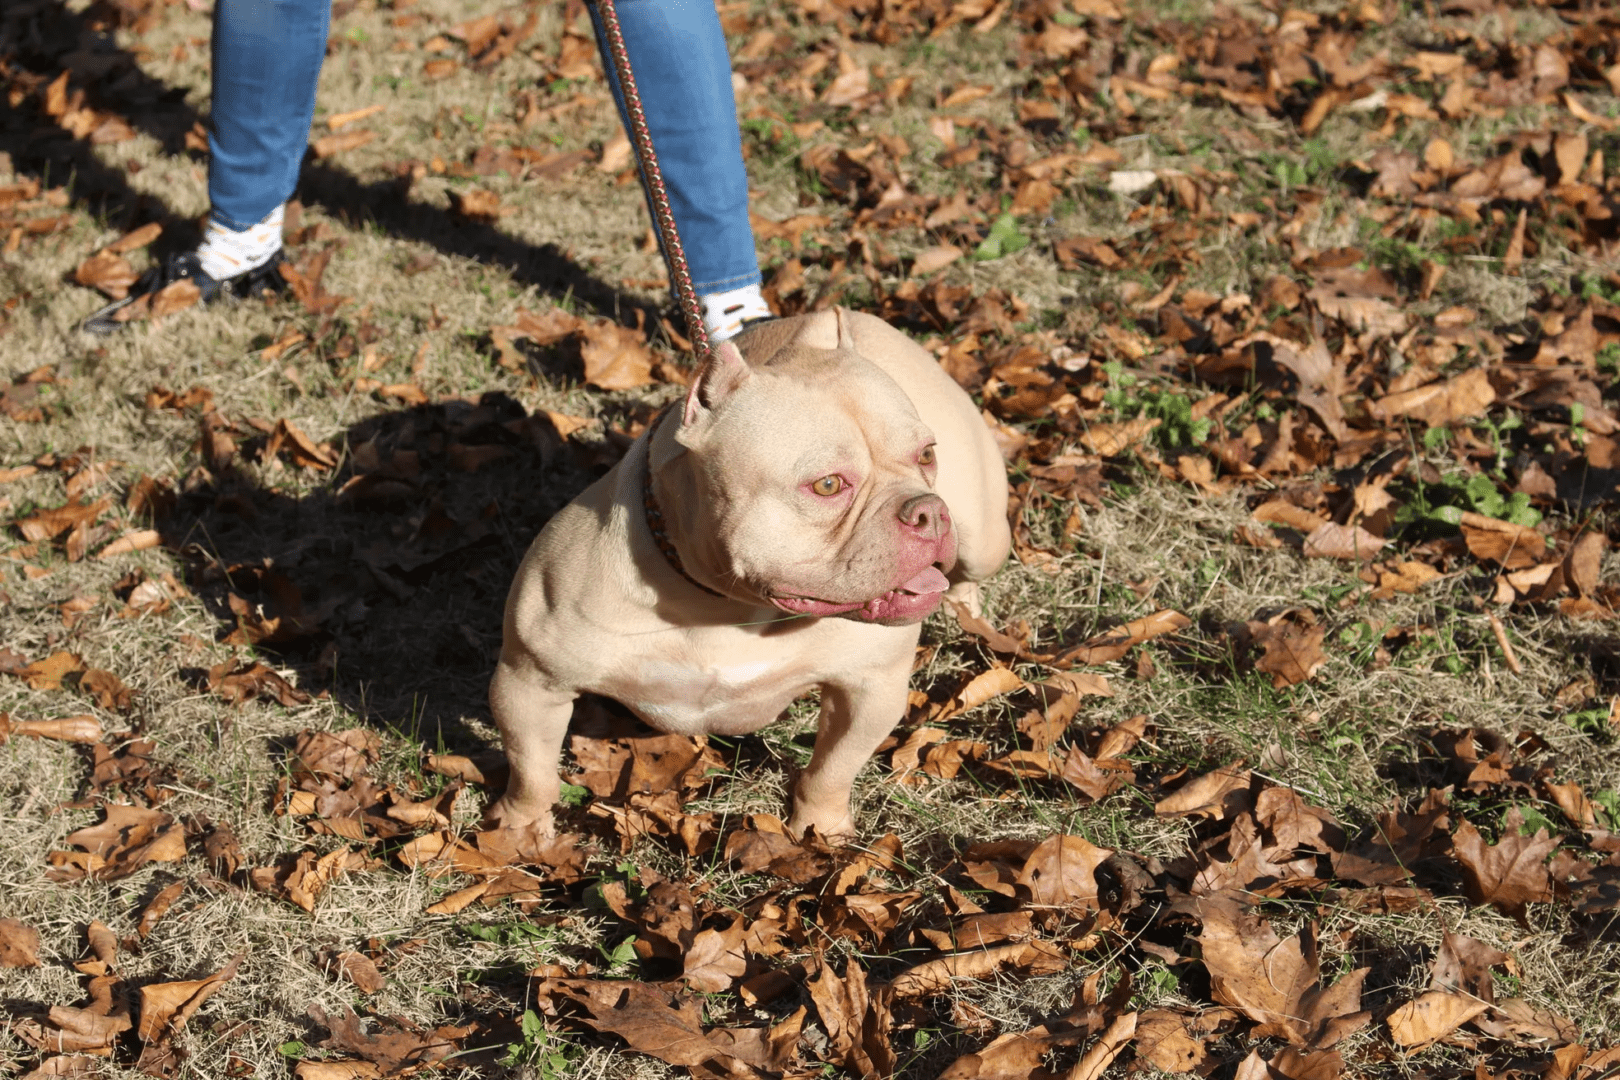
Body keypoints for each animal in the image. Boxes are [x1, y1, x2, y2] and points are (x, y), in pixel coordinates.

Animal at [486, 307, 1004, 841]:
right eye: (827, 485)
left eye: (926, 455)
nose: (928, 511)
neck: (722, 604)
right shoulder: (530, 682)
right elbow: (532, 769)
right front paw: (519, 831)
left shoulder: (870, 688)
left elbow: (832, 769)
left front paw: (821, 831)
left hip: (985, 538)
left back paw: (966, 612)